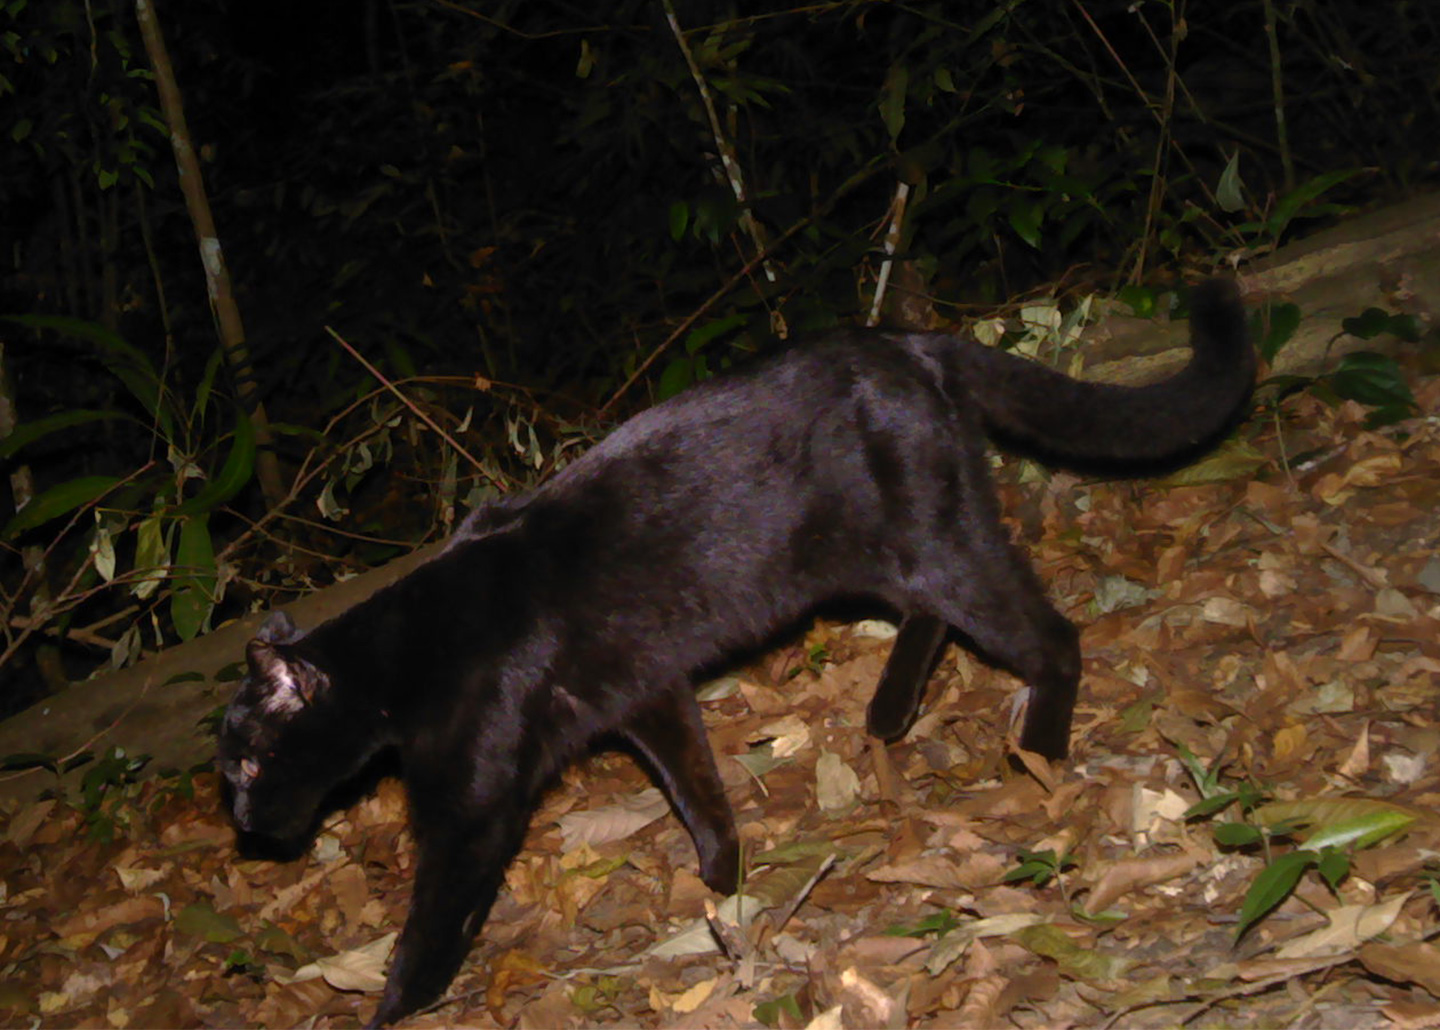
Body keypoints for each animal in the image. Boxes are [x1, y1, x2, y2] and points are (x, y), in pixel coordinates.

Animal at [218, 278, 1255, 1025]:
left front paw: (393, 1006)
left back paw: (1037, 751)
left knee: (1048, 634)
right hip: (885, 552)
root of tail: (911, 340)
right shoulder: (643, 692)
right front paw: (723, 878)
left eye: (251, 763)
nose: (241, 820)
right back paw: (890, 713)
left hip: (937, 542)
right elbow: (694, 783)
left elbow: (436, 915)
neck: (406, 654)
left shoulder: (475, 803)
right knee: (936, 616)